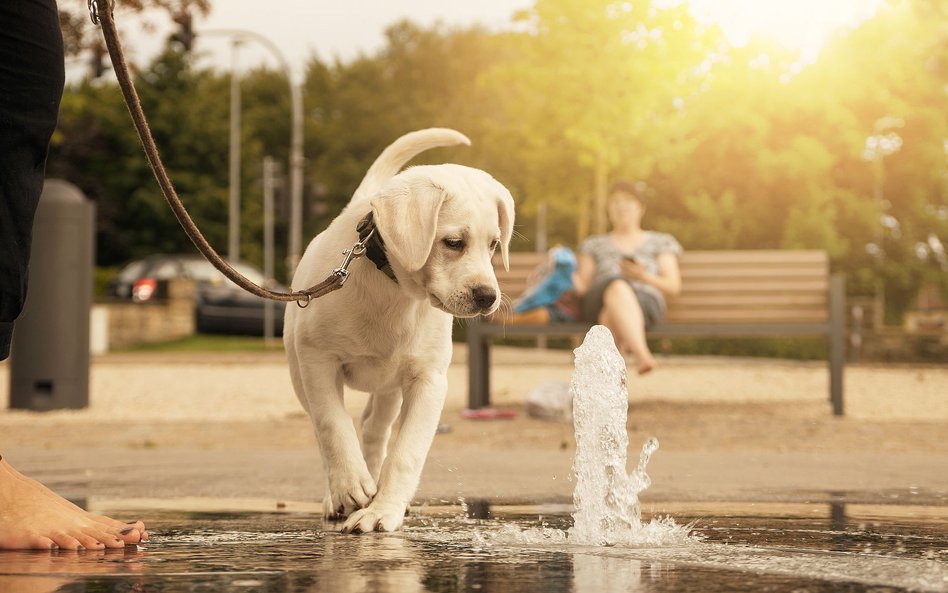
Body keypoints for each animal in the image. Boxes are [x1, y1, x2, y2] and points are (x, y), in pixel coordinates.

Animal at [286, 128, 516, 532]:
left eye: (493, 244)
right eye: (453, 243)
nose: (488, 296)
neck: (394, 291)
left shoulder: (428, 380)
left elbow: (407, 451)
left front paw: (382, 510)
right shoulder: (317, 360)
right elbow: (332, 424)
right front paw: (350, 485)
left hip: (390, 387)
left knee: (374, 429)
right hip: (300, 374)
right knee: (325, 426)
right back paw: (339, 494)